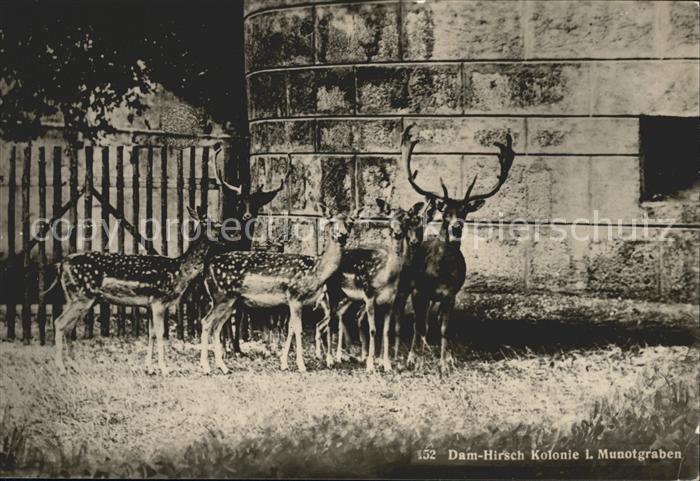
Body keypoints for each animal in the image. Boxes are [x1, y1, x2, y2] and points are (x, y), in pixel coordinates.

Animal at [52, 206, 226, 375]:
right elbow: (161, 333)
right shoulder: (159, 301)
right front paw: (164, 369)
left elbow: (151, 334)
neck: (179, 271)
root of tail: (61, 264)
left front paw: (149, 368)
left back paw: (75, 366)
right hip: (81, 296)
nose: (228, 238)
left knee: (69, 327)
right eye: (216, 225)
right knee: (60, 322)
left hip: (79, 298)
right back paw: (61, 367)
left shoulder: (149, 305)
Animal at [198, 203, 360, 374]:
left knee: (217, 326)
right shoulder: (295, 296)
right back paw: (206, 367)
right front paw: (301, 365)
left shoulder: (293, 302)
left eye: (350, 222)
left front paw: (284, 363)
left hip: (230, 301)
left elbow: (290, 328)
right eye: (332, 221)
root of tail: (207, 269)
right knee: (206, 322)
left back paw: (223, 367)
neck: (316, 272)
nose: (342, 235)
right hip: (220, 296)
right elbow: (298, 329)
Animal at [315, 198, 429, 373]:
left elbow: (387, 331)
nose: (397, 233)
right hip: (332, 293)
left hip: (346, 298)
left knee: (331, 321)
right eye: (389, 218)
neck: (385, 276)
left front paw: (387, 365)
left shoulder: (391, 300)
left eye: (406, 220)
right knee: (330, 323)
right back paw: (330, 360)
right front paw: (370, 365)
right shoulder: (369, 296)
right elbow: (373, 330)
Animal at [397, 125, 515, 372]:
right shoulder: (420, 291)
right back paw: (413, 354)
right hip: (409, 287)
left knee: (429, 322)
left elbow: (443, 329)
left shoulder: (450, 294)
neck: (439, 272)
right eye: (445, 212)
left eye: (464, 211)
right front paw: (416, 360)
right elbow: (419, 325)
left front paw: (444, 363)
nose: (456, 226)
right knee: (415, 321)